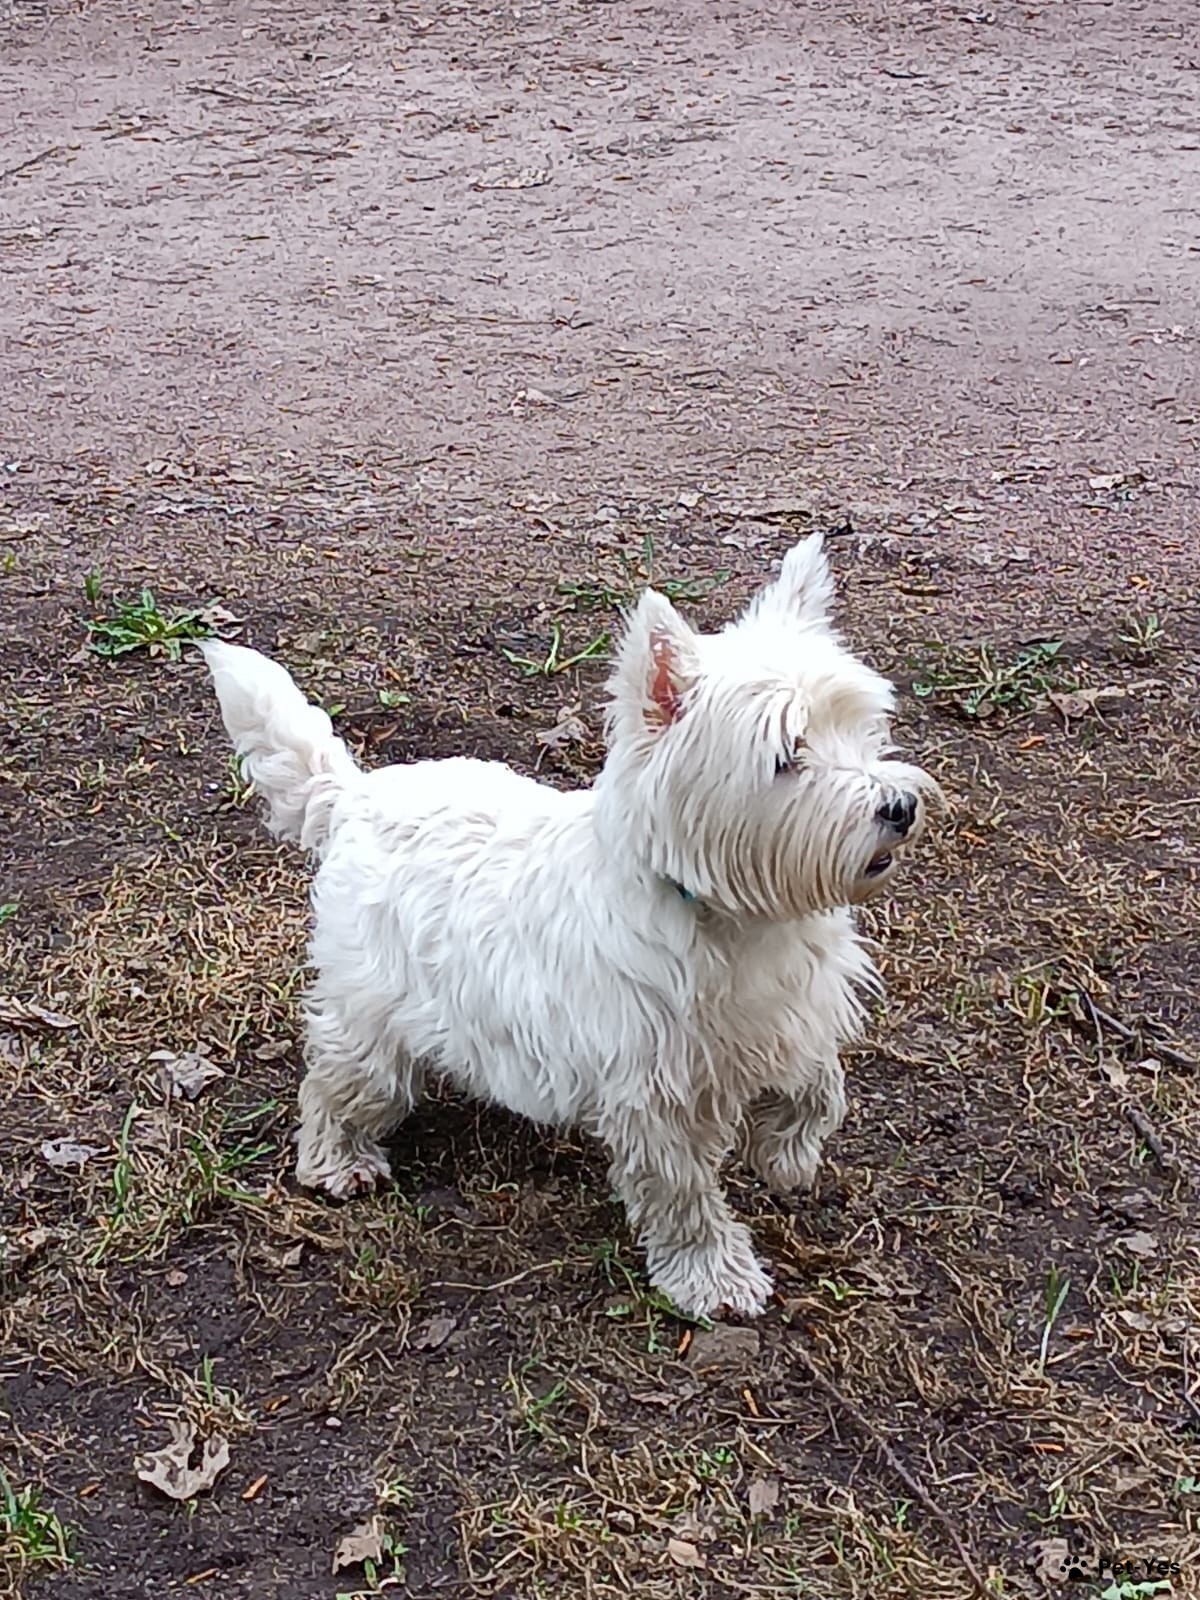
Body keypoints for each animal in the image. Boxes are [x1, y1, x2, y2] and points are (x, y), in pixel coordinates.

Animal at [202, 534, 940, 1312]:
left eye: (860, 727)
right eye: (785, 756)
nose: (899, 806)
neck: (734, 917)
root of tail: (353, 795)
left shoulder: (797, 1011)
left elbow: (819, 1087)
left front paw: (786, 1152)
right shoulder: (655, 1089)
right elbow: (682, 1193)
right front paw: (713, 1274)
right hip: (372, 1014)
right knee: (337, 1083)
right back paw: (338, 1161)